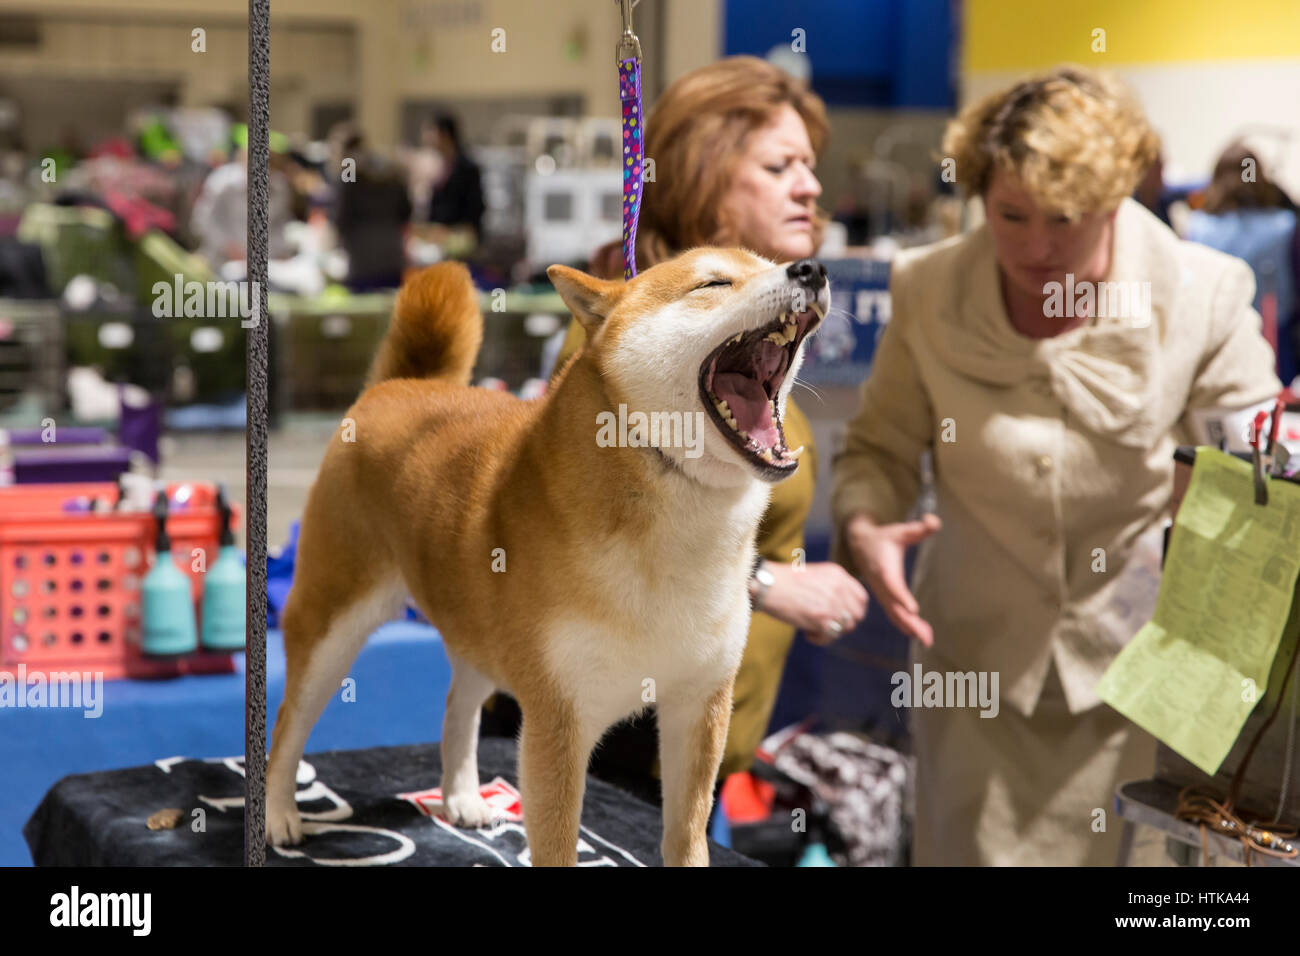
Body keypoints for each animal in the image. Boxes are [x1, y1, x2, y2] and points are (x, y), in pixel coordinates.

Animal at [267, 248, 826, 868]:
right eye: (714, 283)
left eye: (769, 261)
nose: (811, 269)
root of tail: (399, 386)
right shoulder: (559, 720)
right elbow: (557, 841)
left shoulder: (699, 706)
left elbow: (687, 837)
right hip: (331, 627)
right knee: (287, 726)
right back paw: (279, 814)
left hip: (478, 632)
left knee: (458, 704)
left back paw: (461, 796)